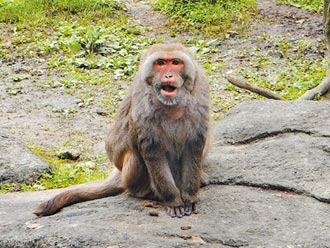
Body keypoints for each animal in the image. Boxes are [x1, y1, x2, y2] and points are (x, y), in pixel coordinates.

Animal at [32, 43, 209, 218]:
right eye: (160, 63)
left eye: (175, 62)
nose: (169, 76)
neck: (171, 106)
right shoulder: (143, 106)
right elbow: (152, 150)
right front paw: (174, 201)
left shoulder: (199, 97)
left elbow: (194, 145)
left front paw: (189, 197)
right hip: (129, 175)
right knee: (134, 156)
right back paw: (145, 193)